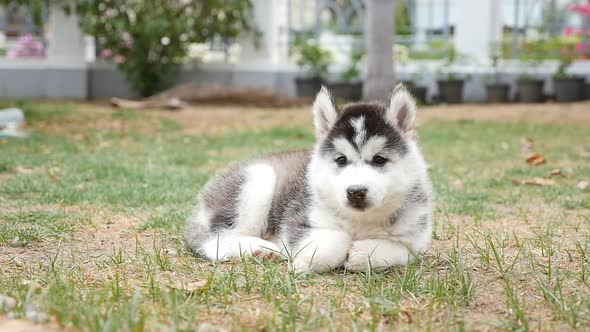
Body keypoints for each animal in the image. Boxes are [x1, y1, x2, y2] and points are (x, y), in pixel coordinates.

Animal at [186, 85, 434, 272]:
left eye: (379, 159)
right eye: (341, 160)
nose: (355, 192)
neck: (361, 222)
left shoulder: (417, 235)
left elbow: (404, 250)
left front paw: (364, 253)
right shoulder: (297, 221)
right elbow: (338, 238)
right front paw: (306, 262)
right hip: (257, 181)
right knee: (215, 238)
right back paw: (259, 247)